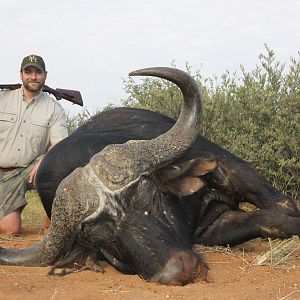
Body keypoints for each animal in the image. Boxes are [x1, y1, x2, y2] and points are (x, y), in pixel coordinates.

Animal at [0, 66, 300, 286]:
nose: (180, 270)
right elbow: (270, 221)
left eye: (151, 198)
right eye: (102, 239)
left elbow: (284, 206)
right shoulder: (212, 227)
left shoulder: (228, 168)